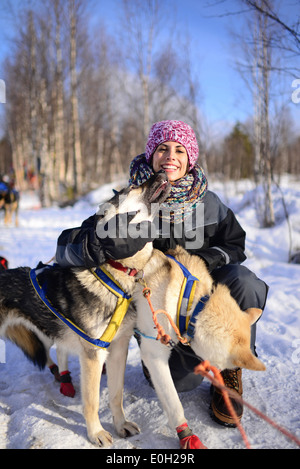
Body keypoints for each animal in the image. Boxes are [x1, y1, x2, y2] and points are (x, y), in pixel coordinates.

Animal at [0, 172, 170, 446]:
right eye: (132, 187)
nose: (162, 173)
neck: (118, 272)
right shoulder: (93, 354)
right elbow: (91, 401)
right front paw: (96, 433)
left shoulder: (118, 349)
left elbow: (116, 394)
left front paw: (120, 425)